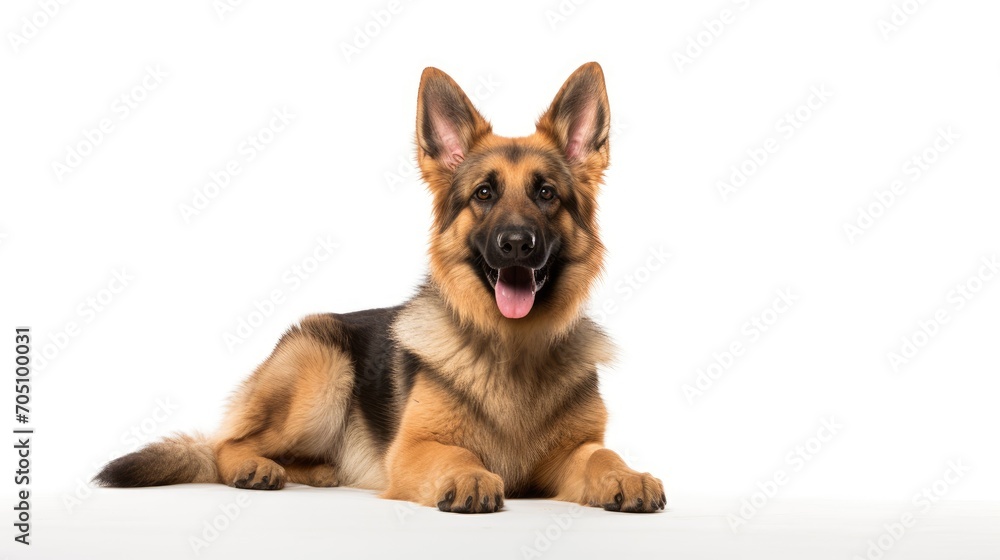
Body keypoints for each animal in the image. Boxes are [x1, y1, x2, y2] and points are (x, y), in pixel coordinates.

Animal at [95, 61, 664, 512]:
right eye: (484, 194)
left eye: (546, 194)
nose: (517, 245)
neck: (512, 346)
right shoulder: (413, 449)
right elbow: (455, 452)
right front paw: (469, 475)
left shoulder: (572, 453)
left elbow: (603, 454)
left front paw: (628, 475)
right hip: (321, 373)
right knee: (225, 444)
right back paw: (253, 468)